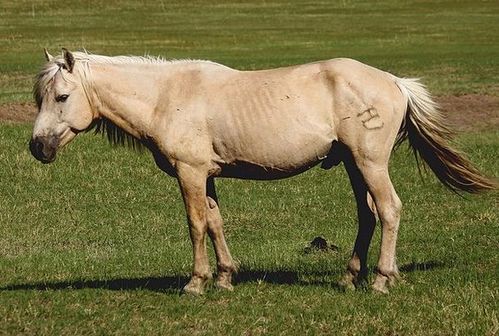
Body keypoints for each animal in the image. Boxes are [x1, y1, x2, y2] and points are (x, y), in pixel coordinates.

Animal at [30, 49, 496, 294]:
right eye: (42, 98)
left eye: (62, 96)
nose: (37, 147)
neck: (168, 96)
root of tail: (395, 82)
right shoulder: (207, 175)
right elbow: (216, 223)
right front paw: (224, 278)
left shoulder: (190, 173)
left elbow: (196, 224)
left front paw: (196, 283)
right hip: (352, 164)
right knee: (368, 215)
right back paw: (350, 277)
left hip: (370, 163)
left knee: (390, 209)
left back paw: (381, 280)